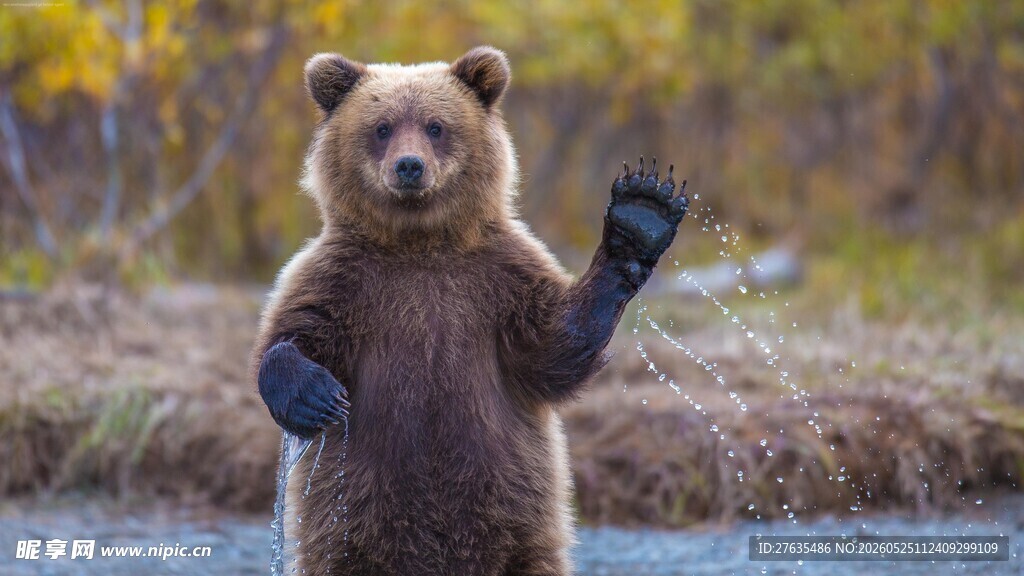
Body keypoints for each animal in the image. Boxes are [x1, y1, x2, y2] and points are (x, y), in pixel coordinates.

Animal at [251, 46, 688, 575]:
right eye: (382, 127)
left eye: (436, 125)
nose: (410, 166)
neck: (419, 243)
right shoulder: (343, 279)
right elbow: (293, 332)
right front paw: (316, 395)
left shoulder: (498, 279)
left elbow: (553, 348)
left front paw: (641, 213)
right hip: (349, 527)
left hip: (519, 524)